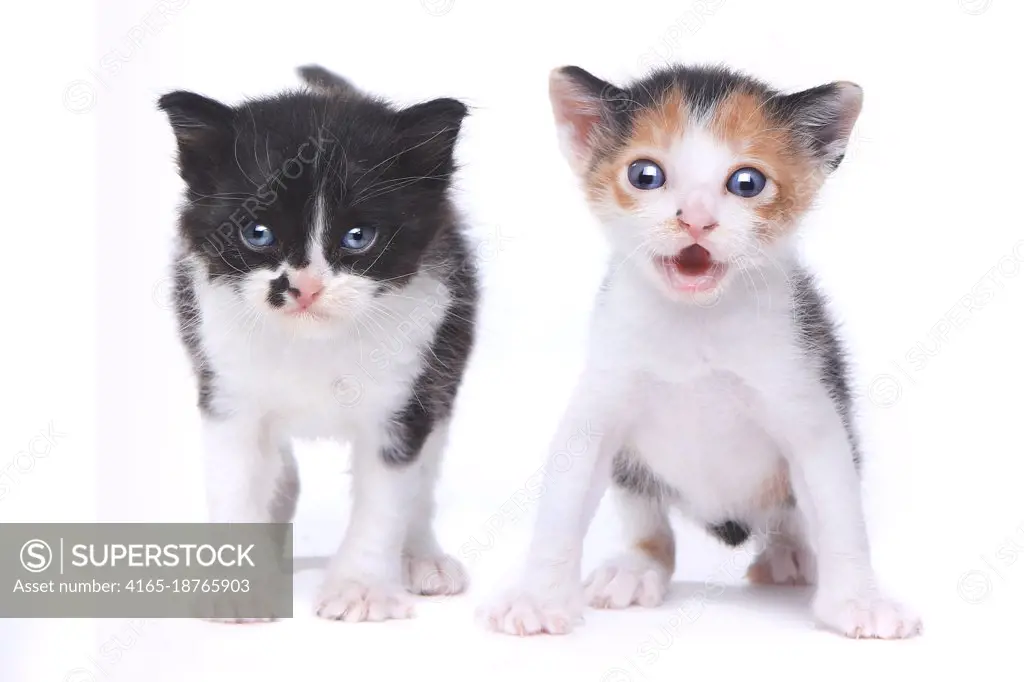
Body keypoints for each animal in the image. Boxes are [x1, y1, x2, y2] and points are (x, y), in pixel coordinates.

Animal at [157, 65, 477, 622]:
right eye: (258, 233)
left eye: (358, 237)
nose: (304, 286)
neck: (312, 343)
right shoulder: (227, 391)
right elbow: (236, 480)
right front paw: (238, 587)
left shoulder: (406, 394)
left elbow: (387, 497)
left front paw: (362, 589)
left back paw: (421, 556)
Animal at [479, 62, 921, 638]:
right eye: (645, 175)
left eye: (747, 183)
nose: (695, 218)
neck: (697, 322)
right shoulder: (603, 393)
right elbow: (565, 496)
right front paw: (537, 596)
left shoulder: (808, 401)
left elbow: (837, 508)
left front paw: (859, 601)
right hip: (635, 473)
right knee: (650, 521)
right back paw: (636, 566)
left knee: (790, 514)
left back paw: (790, 553)